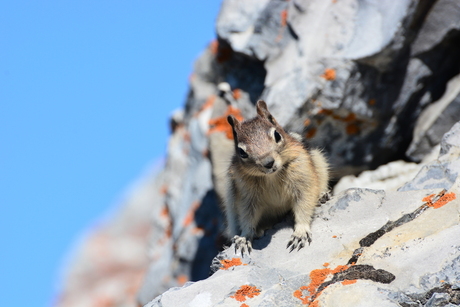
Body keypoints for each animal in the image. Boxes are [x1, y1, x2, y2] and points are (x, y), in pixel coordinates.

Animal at [225, 100, 328, 255]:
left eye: (277, 135)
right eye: (241, 152)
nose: (268, 163)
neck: (271, 176)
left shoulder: (303, 180)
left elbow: (304, 205)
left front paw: (300, 233)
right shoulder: (246, 195)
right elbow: (247, 217)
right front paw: (244, 237)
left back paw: (322, 195)